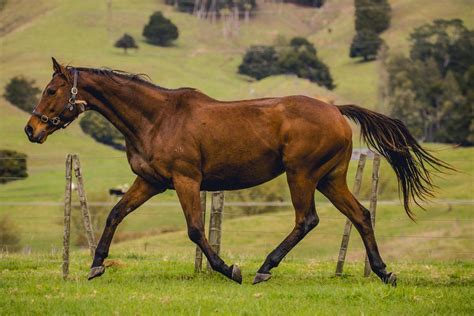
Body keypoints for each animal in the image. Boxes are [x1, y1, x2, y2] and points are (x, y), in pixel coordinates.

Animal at [25, 58, 448, 286]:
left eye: (51, 90)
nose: (31, 130)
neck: (156, 118)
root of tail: (336, 110)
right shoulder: (150, 182)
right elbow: (115, 214)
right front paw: (96, 264)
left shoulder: (186, 181)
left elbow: (196, 230)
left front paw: (230, 269)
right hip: (330, 178)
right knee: (360, 215)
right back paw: (384, 272)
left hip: (302, 175)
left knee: (306, 219)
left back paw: (264, 269)